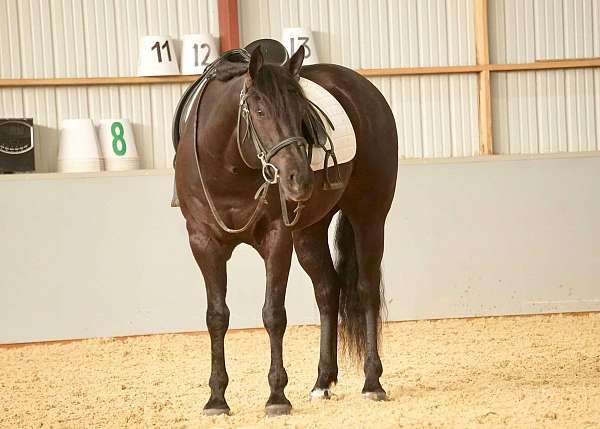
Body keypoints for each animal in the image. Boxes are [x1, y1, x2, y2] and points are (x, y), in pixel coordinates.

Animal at [173, 46, 398, 414]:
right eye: (260, 111)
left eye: (300, 110)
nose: (300, 179)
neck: (229, 167)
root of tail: (363, 88)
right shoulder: (204, 243)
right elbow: (217, 316)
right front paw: (217, 398)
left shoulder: (276, 239)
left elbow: (273, 314)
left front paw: (277, 395)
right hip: (309, 232)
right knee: (328, 290)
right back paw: (322, 382)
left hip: (369, 217)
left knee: (365, 290)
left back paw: (372, 382)